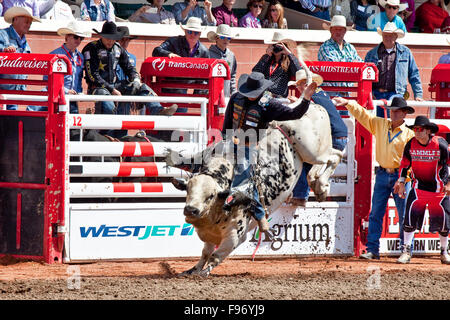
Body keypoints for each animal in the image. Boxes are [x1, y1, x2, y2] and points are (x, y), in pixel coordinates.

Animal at [165, 86, 344, 276]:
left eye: (210, 196)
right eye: (188, 190)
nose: (190, 210)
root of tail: (313, 106)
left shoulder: (235, 235)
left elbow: (215, 256)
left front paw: (203, 273)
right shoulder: (210, 234)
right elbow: (205, 252)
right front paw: (192, 270)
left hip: (313, 150)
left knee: (335, 156)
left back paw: (321, 186)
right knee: (324, 162)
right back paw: (317, 183)